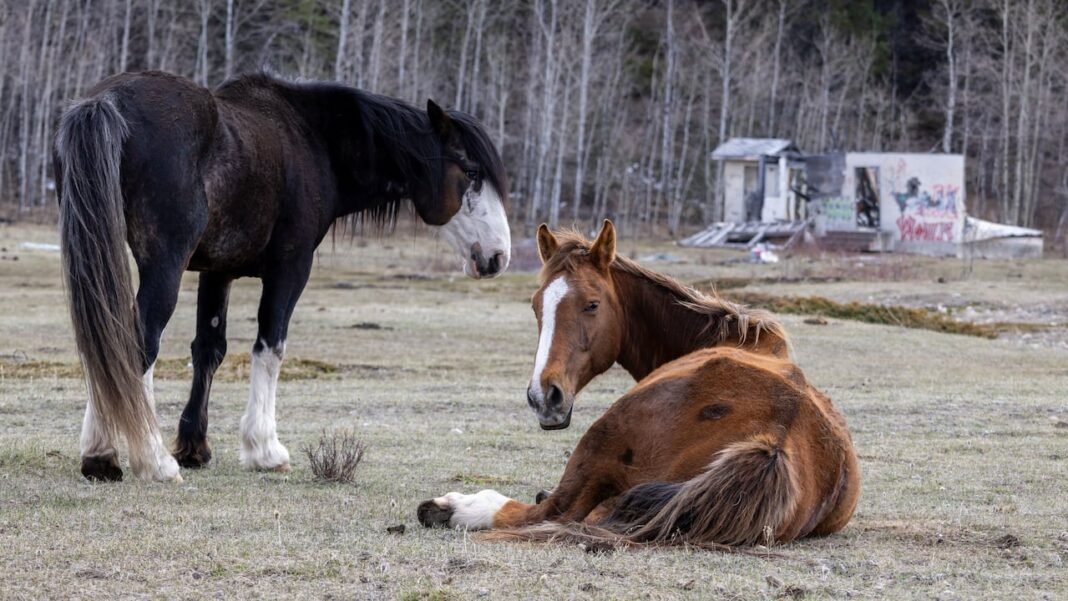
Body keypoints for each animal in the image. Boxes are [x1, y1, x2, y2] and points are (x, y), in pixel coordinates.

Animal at [54, 71, 512, 483]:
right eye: (471, 172)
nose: (498, 256)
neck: (314, 138)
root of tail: (108, 102)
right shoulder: (290, 268)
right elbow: (270, 347)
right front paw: (264, 449)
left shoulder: (217, 271)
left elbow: (209, 350)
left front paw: (195, 447)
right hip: (163, 266)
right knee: (136, 344)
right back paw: (146, 459)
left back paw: (104, 454)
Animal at [418, 221, 859, 547]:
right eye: (536, 305)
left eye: (592, 304)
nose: (544, 397)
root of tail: (774, 441)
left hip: (600, 436)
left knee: (546, 511)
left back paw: (450, 508)